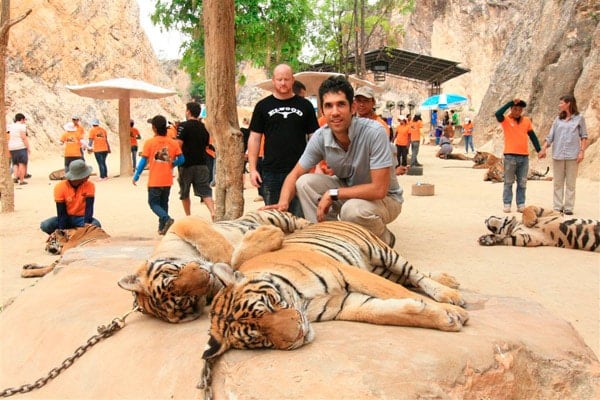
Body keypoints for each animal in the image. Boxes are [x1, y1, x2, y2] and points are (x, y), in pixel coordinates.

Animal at [118, 209, 464, 324]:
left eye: (172, 275)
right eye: (184, 303)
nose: (205, 279)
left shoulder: (191, 226)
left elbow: (229, 254)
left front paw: (452, 311)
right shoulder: (346, 300)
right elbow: (387, 307)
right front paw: (443, 318)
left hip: (378, 251)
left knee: (413, 274)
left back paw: (450, 291)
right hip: (376, 264)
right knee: (406, 278)